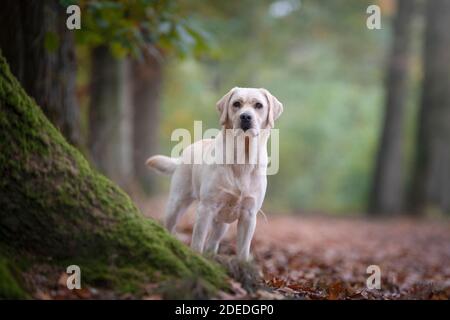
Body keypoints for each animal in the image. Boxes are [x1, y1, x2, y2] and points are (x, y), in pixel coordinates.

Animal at [147, 87, 282, 260]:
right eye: (236, 104)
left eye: (258, 105)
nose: (245, 116)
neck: (242, 160)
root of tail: (183, 154)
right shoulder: (206, 208)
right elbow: (197, 242)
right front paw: (196, 258)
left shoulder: (249, 214)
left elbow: (243, 251)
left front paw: (243, 265)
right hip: (176, 203)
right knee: (170, 226)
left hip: (222, 223)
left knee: (212, 243)